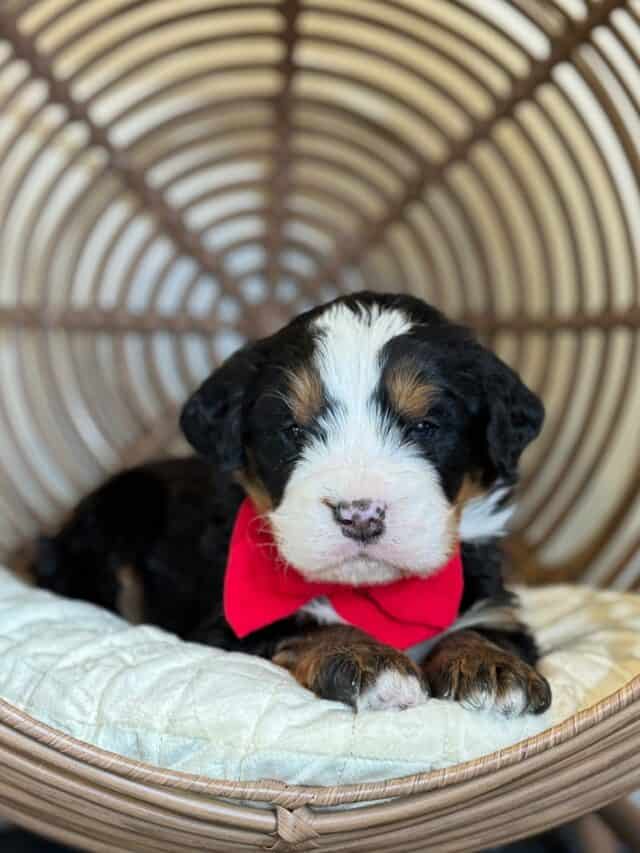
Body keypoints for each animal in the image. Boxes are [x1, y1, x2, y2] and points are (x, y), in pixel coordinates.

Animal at [35, 292, 552, 712]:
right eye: (293, 431)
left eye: (425, 427)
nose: (359, 515)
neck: (371, 595)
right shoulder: (228, 624)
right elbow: (310, 623)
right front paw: (371, 661)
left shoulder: (493, 604)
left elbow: (479, 627)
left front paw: (493, 669)